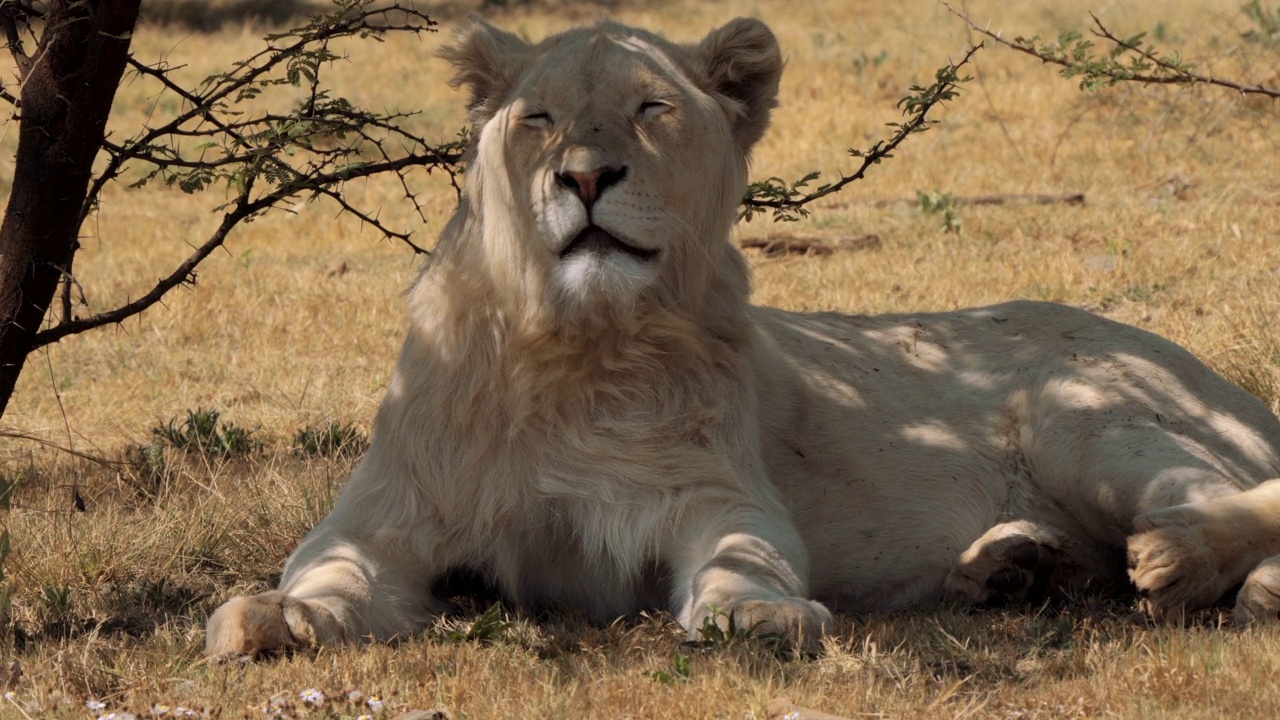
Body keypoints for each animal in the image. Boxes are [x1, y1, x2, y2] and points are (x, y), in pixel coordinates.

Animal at [204, 16, 1280, 655]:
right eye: (539, 118)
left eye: (650, 108)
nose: (584, 177)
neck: (578, 349)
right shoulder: (385, 513)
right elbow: (333, 569)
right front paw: (276, 617)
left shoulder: (715, 493)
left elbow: (742, 555)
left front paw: (758, 616)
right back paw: (1017, 569)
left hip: (1085, 411)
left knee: (1215, 501)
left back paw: (1187, 563)